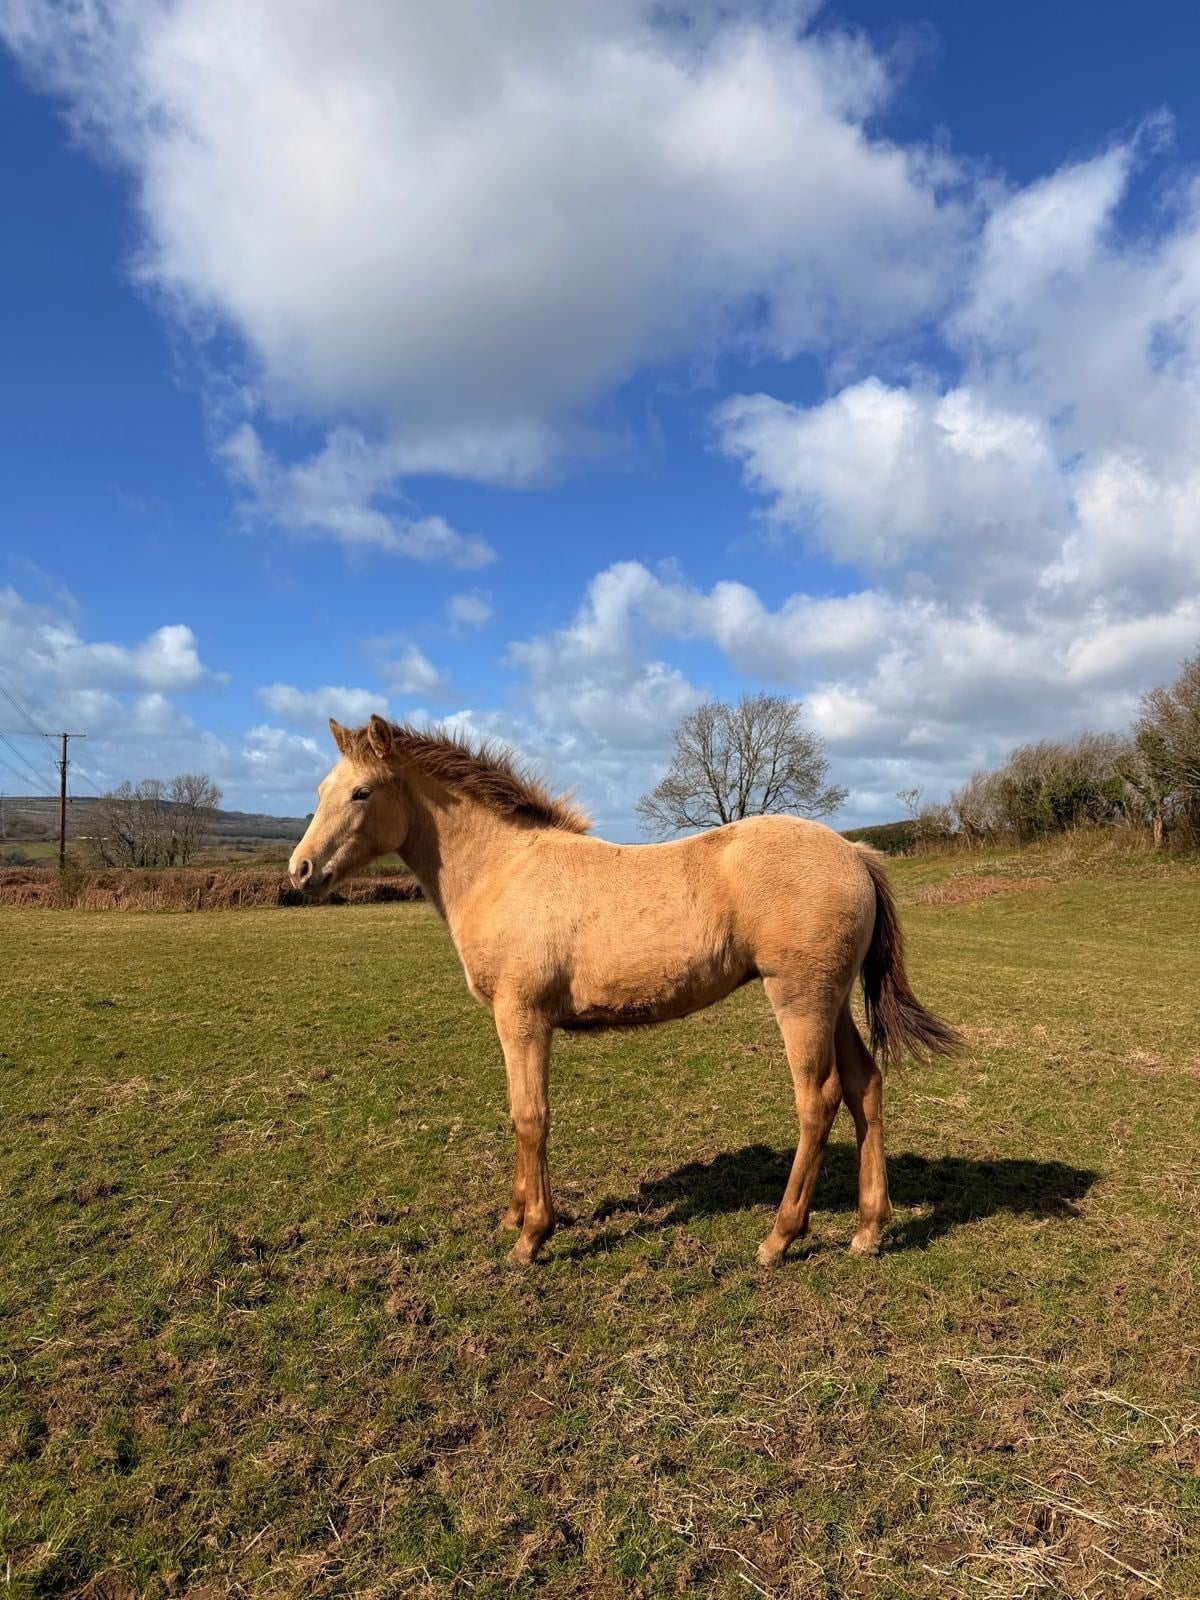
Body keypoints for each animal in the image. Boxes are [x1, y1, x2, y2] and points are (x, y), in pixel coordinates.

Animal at [289, 715, 959, 1267]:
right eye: (318, 791)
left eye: (361, 792)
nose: (299, 871)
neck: (505, 870)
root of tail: (853, 851)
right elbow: (517, 1114)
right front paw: (513, 1216)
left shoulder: (522, 1017)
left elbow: (530, 1116)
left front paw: (531, 1237)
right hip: (833, 1001)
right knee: (865, 1086)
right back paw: (868, 1230)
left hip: (801, 1000)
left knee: (818, 1101)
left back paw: (779, 1238)